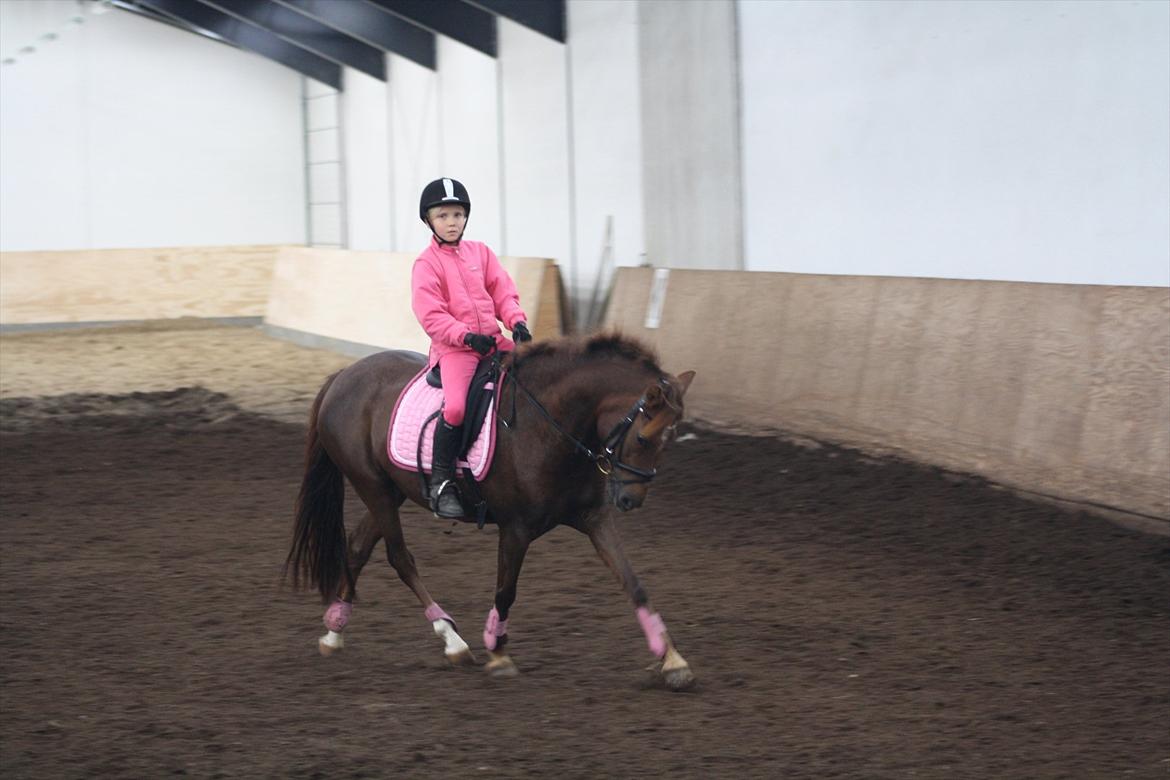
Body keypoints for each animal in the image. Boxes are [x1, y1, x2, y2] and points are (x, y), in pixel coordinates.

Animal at [285, 334, 692, 687]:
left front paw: (672, 659)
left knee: (357, 546)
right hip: (373, 486)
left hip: (389, 490)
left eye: (671, 439)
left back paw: (334, 630)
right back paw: (451, 640)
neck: (549, 424)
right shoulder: (516, 528)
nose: (631, 500)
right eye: (644, 438)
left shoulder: (594, 520)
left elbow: (633, 583)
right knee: (399, 557)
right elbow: (505, 590)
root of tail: (343, 376)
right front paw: (498, 653)